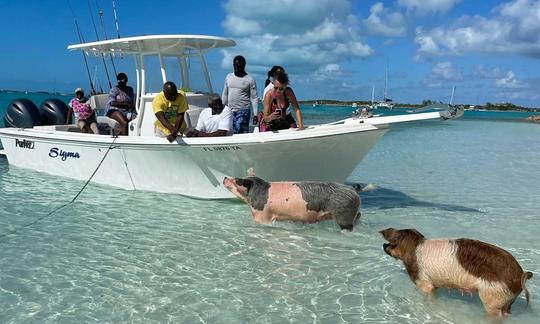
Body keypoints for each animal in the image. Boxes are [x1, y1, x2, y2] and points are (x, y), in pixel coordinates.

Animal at [380, 228, 532, 316]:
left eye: (395, 238)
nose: (383, 242)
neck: (414, 249)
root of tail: (520, 275)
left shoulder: (424, 283)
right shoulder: (433, 284)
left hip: (493, 298)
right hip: (507, 302)